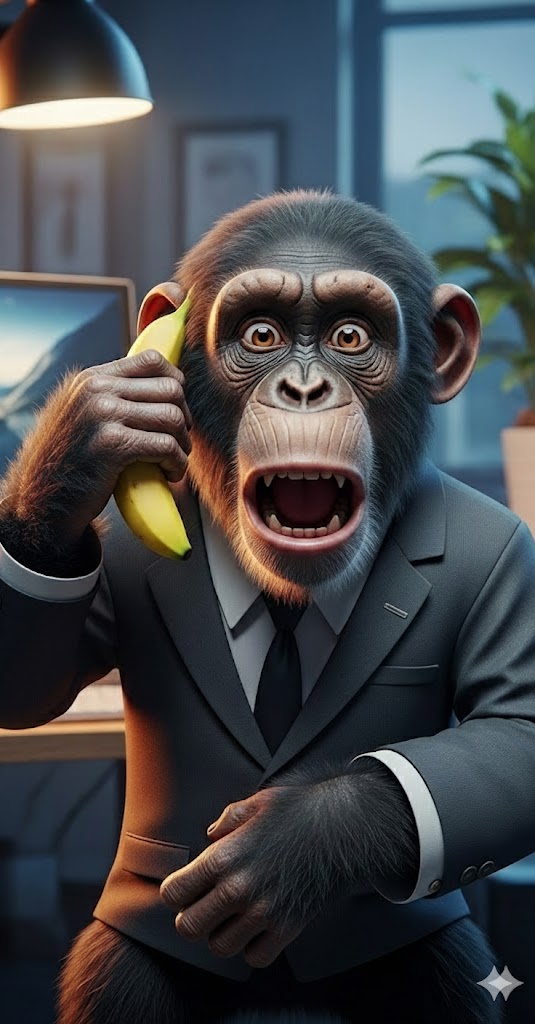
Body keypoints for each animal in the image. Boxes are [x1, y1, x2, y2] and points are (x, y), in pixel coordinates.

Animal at [0, 189, 530, 1023]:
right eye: (260, 336)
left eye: (350, 336)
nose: (304, 390)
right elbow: (29, 686)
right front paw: (88, 433)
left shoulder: (508, 549)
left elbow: (513, 731)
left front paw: (292, 842)